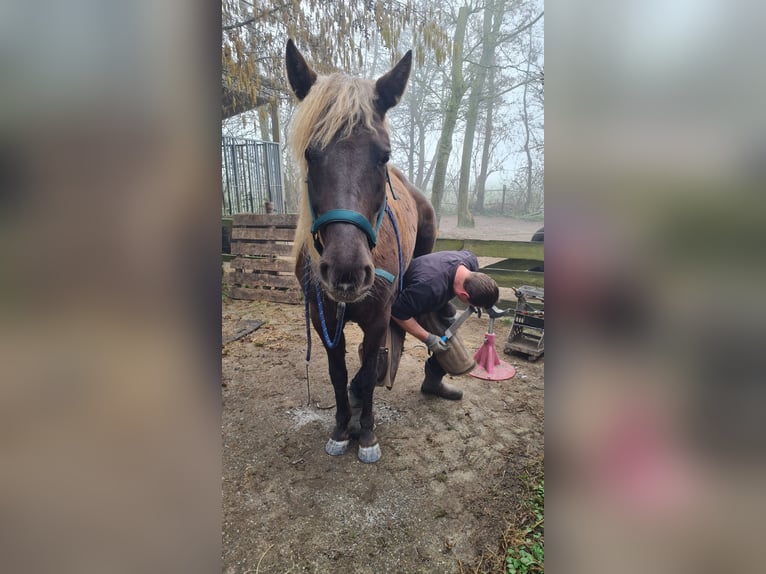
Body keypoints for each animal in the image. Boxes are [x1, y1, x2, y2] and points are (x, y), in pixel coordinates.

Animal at [285, 39, 437, 463]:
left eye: (383, 155)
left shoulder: (378, 317)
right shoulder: (323, 319)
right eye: (310, 154)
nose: (346, 270)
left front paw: (366, 433)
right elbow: (338, 374)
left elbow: (369, 373)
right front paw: (341, 427)